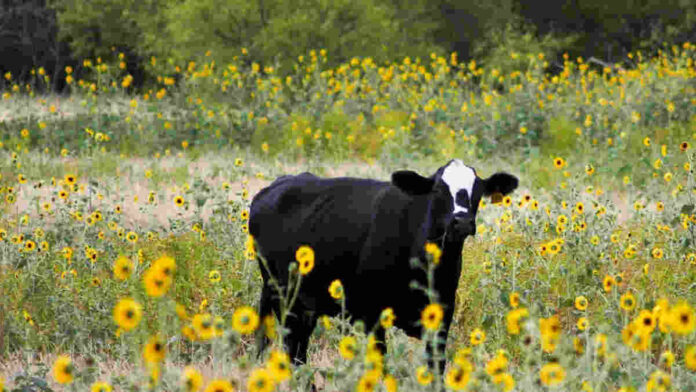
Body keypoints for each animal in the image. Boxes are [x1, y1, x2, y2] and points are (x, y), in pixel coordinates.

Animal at [246, 160, 516, 374]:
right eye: (439, 190)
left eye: (478, 191)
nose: (462, 222)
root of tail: (277, 185)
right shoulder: (371, 315)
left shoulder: (442, 316)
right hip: (284, 296)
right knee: (288, 349)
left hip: (304, 304)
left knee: (298, 351)